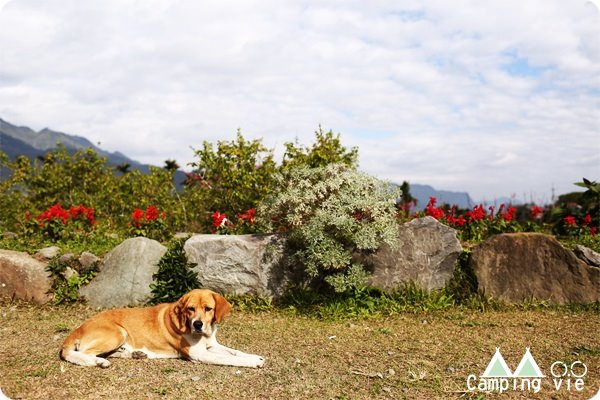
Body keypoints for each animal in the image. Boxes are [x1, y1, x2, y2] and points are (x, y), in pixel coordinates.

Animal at [60, 288, 264, 368]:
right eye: (191, 309)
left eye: (208, 309)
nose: (197, 324)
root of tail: (77, 329)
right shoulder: (200, 354)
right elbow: (228, 358)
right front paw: (252, 362)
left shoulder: (212, 345)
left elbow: (234, 351)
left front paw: (255, 356)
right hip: (117, 332)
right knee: (82, 353)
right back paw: (99, 362)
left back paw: (136, 354)